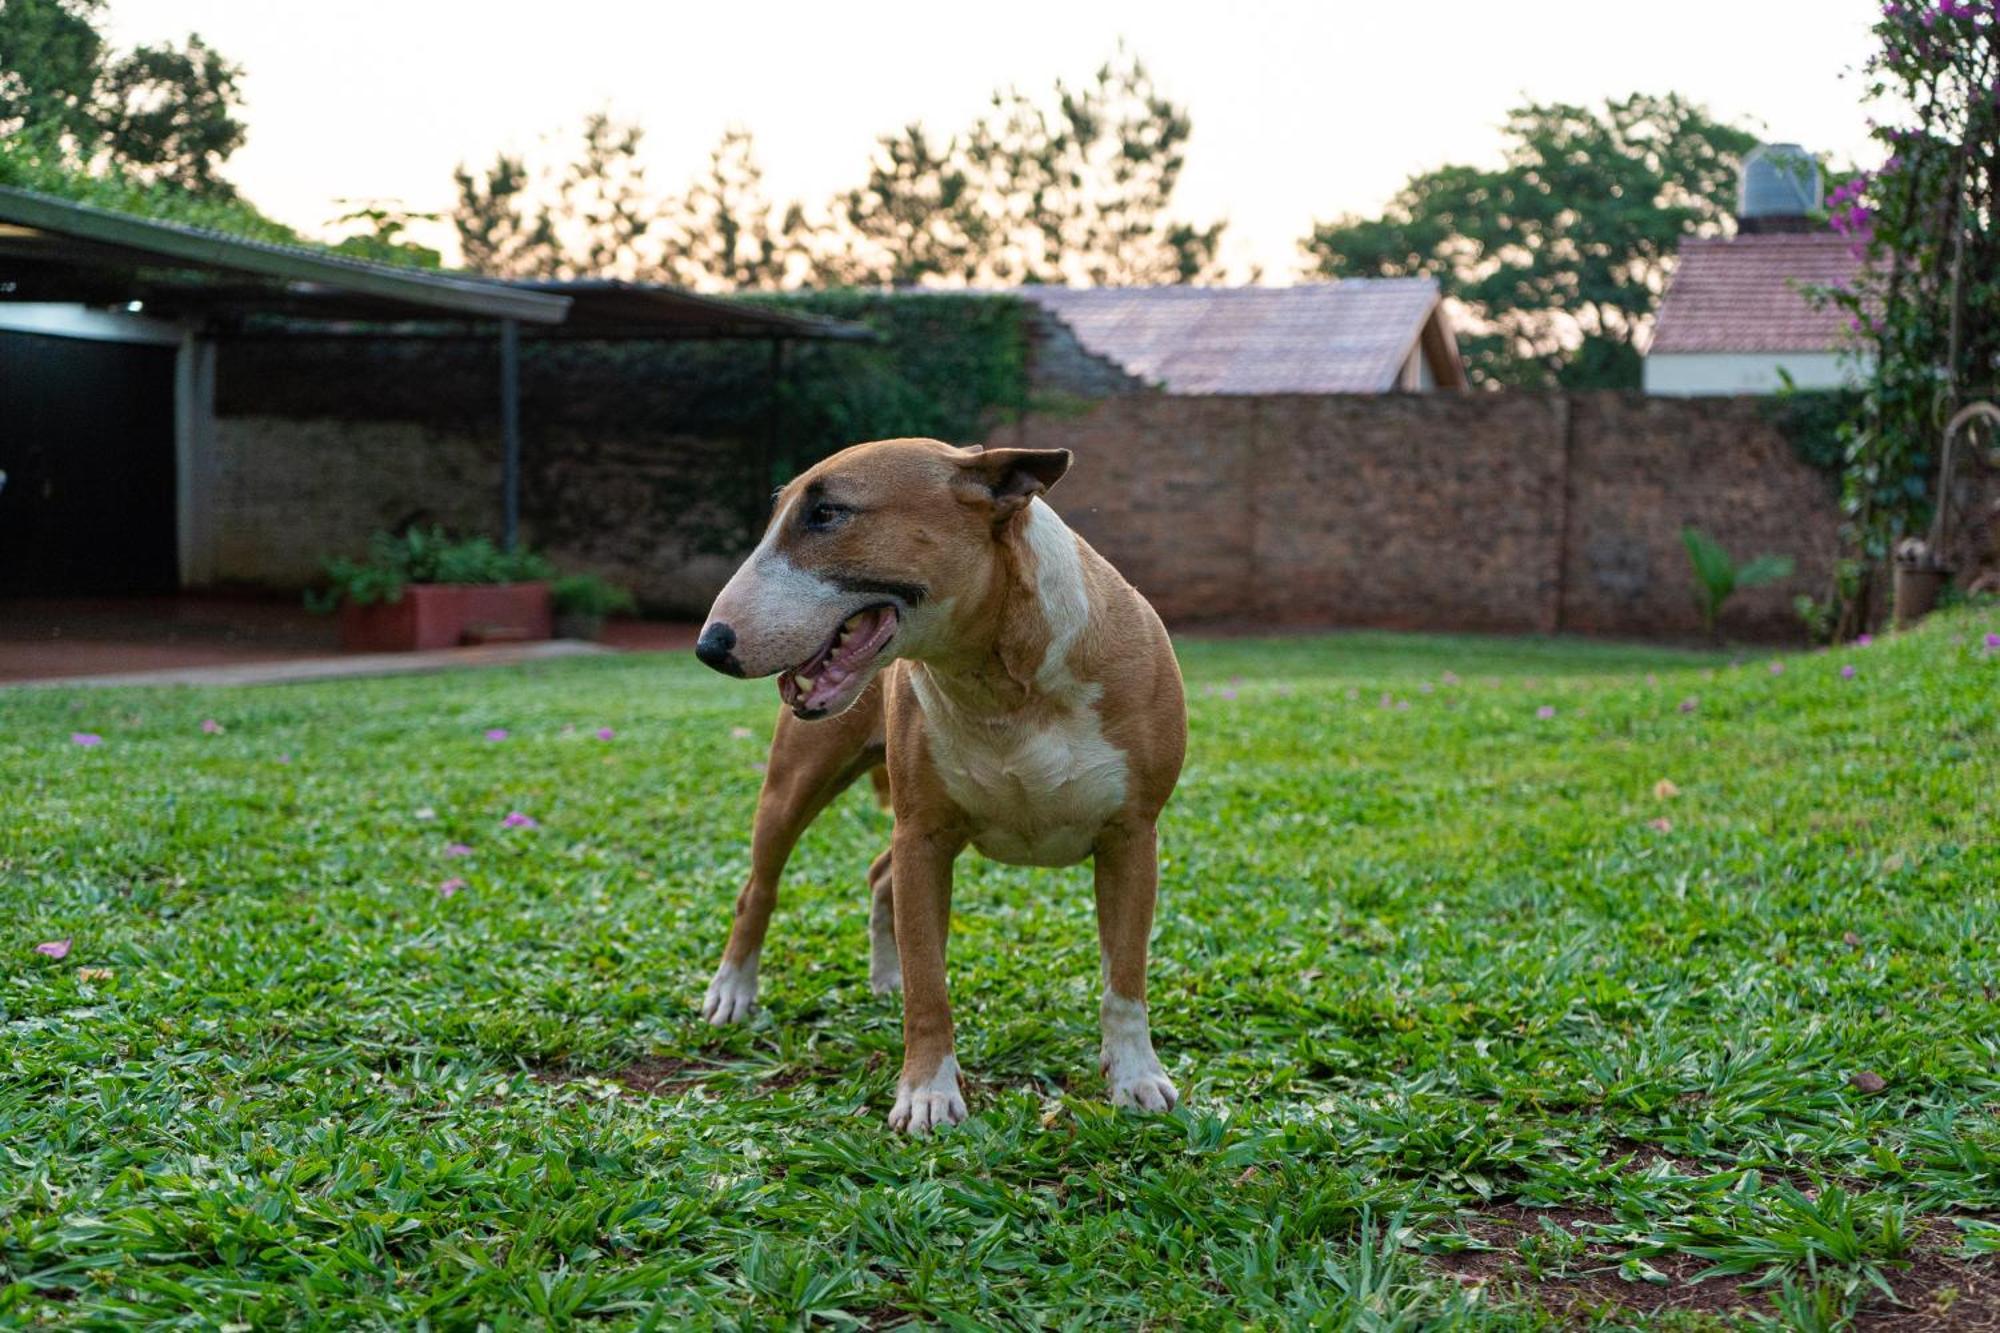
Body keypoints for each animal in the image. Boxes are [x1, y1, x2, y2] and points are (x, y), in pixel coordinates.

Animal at [696, 436, 1176, 1128]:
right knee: (758, 889)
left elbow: (1126, 978)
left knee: (879, 875)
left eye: (826, 514)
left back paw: (883, 976)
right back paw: (734, 989)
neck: (1001, 678)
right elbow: (930, 985)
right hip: (796, 785)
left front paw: (1137, 1077)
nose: (711, 645)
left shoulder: (1131, 838)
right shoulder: (923, 837)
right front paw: (927, 1093)